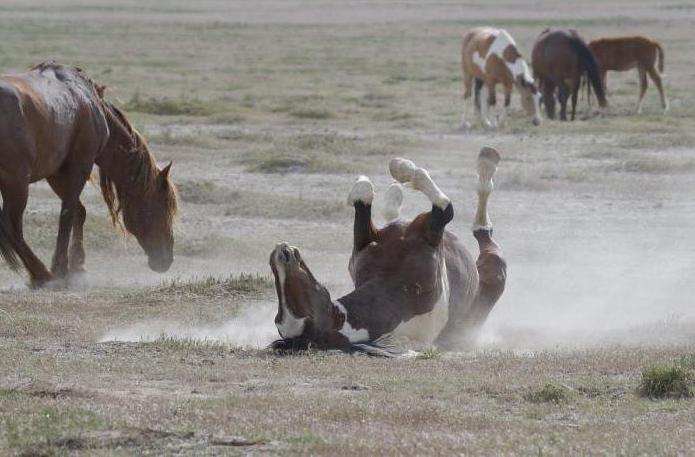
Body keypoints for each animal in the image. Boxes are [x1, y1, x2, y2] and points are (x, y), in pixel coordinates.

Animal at [0, 62, 178, 286]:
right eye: (162, 207)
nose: (167, 259)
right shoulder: (79, 166)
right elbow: (67, 215)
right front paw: (61, 268)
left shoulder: (56, 173)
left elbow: (79, 212)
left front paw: (78, 266)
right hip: (17, 184)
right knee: (12, 227)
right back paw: (42, 275)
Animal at [270, 148, 508, 350]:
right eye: (300, 306)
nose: (281, 252)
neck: (394, 288)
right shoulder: (433, 231)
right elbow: (444, 207)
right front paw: (401, 167)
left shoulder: (365, 242)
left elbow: (362, 197)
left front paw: (383, 176)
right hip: (494, 273)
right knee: (484, 232)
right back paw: (487, 162)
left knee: (394, 214)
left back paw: (395, 193)